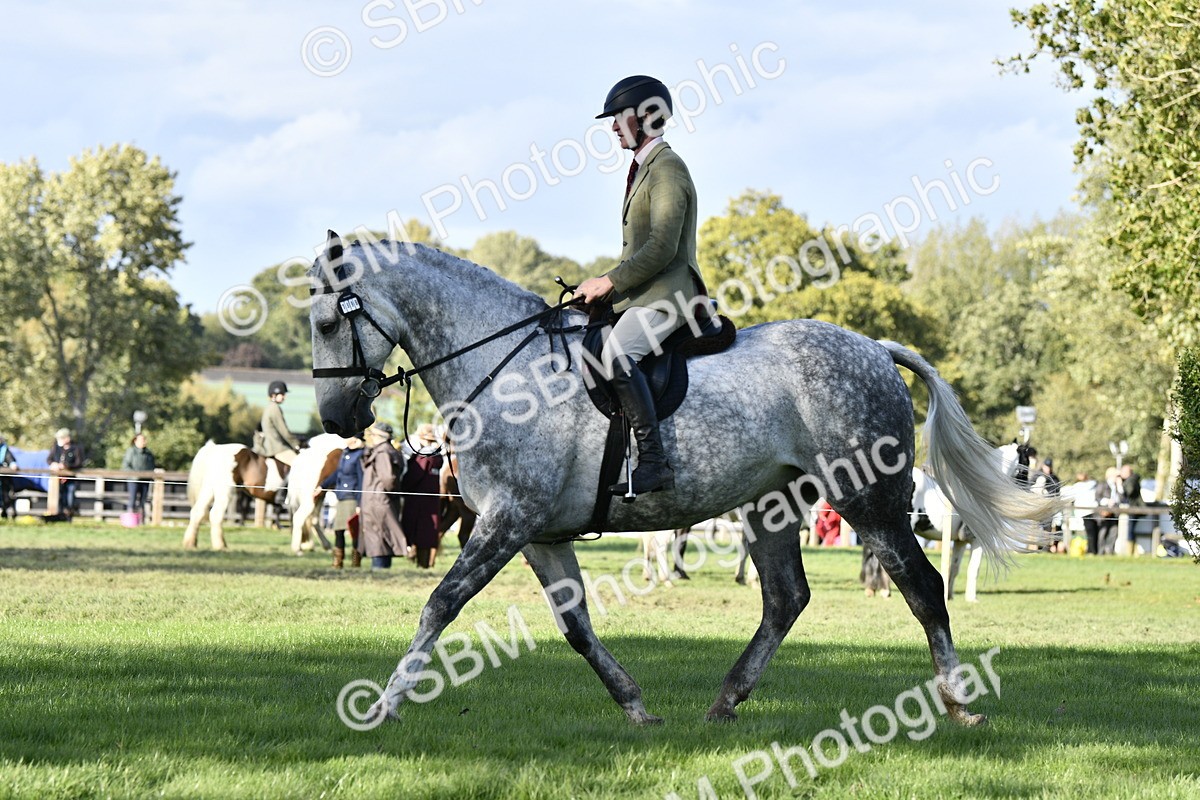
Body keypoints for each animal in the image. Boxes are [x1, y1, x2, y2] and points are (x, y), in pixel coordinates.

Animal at [307, 236, 1060, 727]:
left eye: (325, 320)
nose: (337, 418)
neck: (507, 366)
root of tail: (875, 347)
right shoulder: (539, 533)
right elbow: (575, 625)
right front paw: (634, 704)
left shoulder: (507, 521)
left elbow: (440, 604)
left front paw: (384, 705)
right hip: (772, 505)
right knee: (785, 597)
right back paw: (726, 701)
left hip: (867, 499)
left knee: (923, 586)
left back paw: (959, 705)